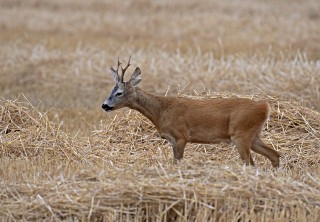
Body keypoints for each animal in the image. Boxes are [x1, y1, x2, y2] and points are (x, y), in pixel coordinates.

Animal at [102, 58, 280, 167]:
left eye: (119, 93)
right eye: (111, 90)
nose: (104, 105)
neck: (161, 111)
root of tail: (265, 106)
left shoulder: (181, 136)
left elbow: (177, 163)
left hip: (240, 133)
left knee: (251, 163)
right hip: (253, 135)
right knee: (274, 154)